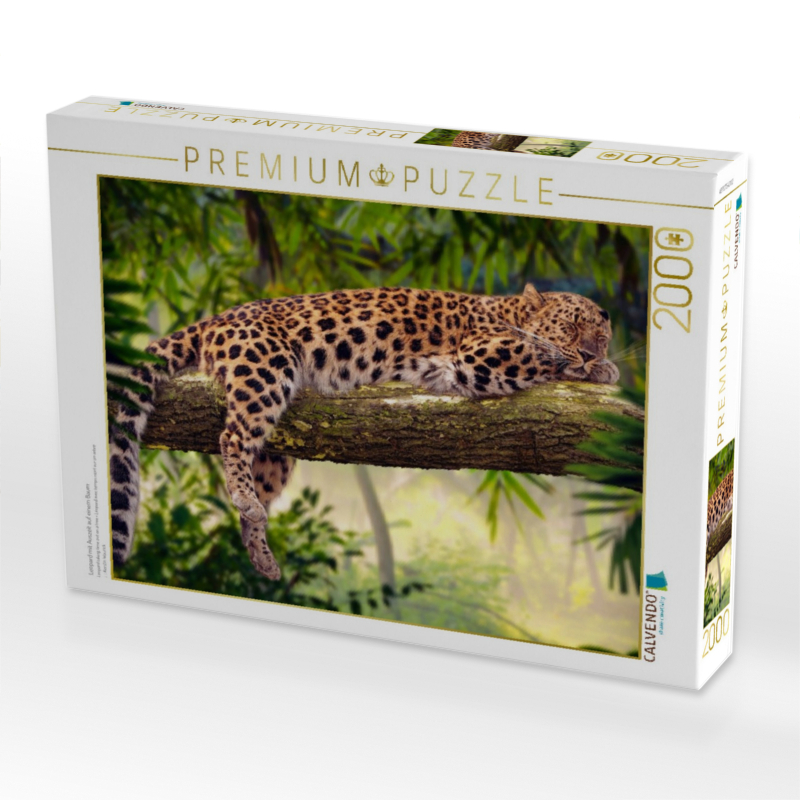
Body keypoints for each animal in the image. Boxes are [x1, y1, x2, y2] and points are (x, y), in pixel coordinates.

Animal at [109, 282, 619, 580]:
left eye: (602, 335)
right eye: (571, 326)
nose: (593, 352)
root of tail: (216, 317)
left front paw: (604, 366)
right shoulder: (480, 355)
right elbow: (544, 353)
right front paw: (598, 368)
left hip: (277, 448)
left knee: (257, 470)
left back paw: (261, 553)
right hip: (265, 370)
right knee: (231, 437)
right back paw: (244, 501)